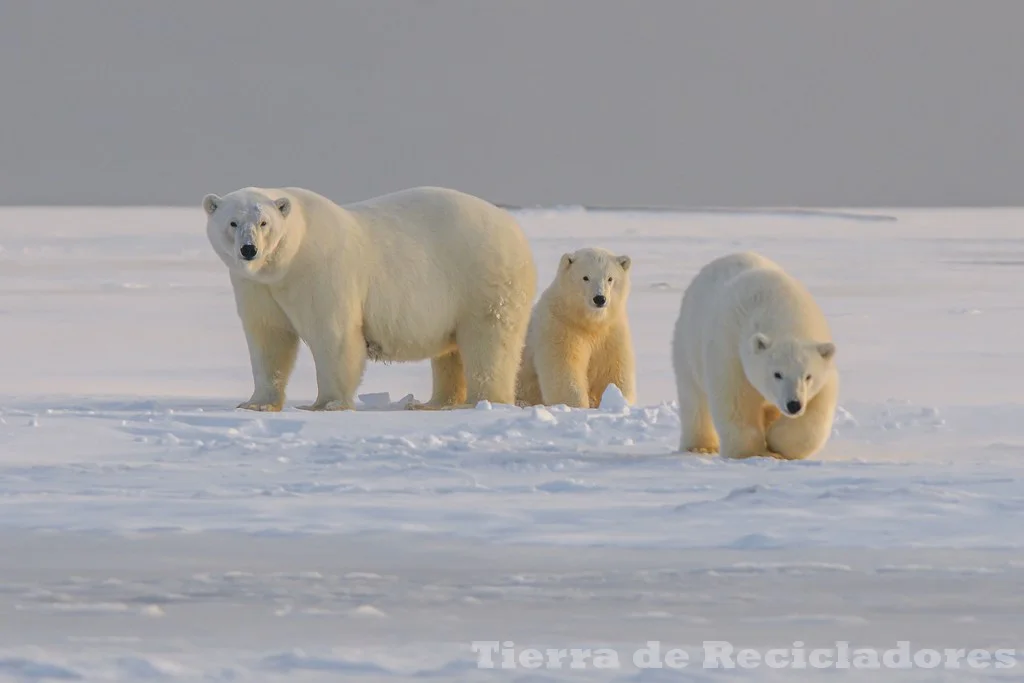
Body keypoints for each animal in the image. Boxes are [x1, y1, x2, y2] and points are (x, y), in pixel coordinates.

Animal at [199, 184, 536, 411]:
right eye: (232, 222)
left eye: (264, 222)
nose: (249, 249)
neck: (287, 261)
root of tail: (515, 229)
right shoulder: (256, 287)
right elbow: (269, 339)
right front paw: (256, 403)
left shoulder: (321, 271)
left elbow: (333, 335)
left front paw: (326, 404)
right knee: (450, 353)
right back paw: (434, 403)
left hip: (482, 279)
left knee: (488, 342)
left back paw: (481, 401)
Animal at [516, 245, 634, 405]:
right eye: (585, 277)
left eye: (610, 278)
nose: (599, 298)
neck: (589, 322)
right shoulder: (561, 327)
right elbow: (564, 371)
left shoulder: (611, 331)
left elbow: (613, 371)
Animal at [671, 253, 839, 462]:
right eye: (777, 374)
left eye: (808, 376)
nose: (794, 405)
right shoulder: (731, 350)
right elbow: (736, 400)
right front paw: (750, 452)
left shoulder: (824, 371)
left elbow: (816, 412)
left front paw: (776, 443)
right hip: (688, 343)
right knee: (694, 397)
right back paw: (700, 447)